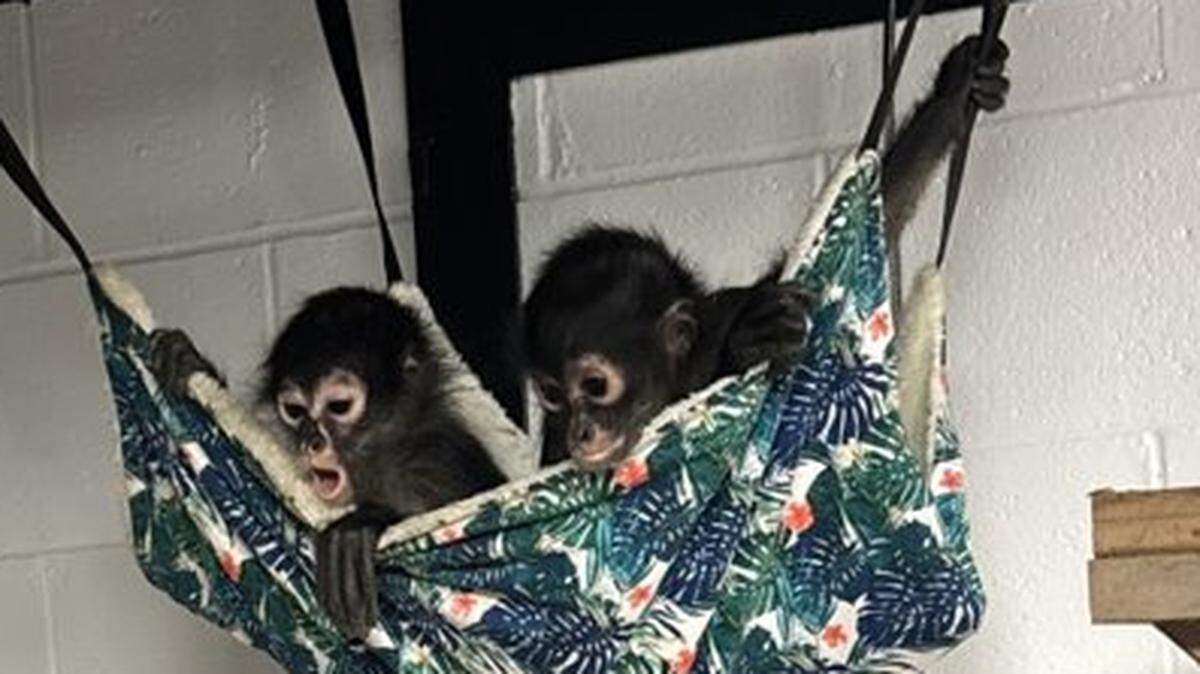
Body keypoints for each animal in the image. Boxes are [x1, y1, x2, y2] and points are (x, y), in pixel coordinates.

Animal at [148, 287, 505, 640]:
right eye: (294, 410)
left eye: (339, 406)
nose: (311, 443)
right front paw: (191, 361)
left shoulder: (433, 463)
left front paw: (362, 525)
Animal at [522, 35, 1010, 471]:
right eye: (552, 396)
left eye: (595, 384)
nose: (580, 430)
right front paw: (748, 346)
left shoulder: (729, 309)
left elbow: (886, 197)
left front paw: (955, 90)